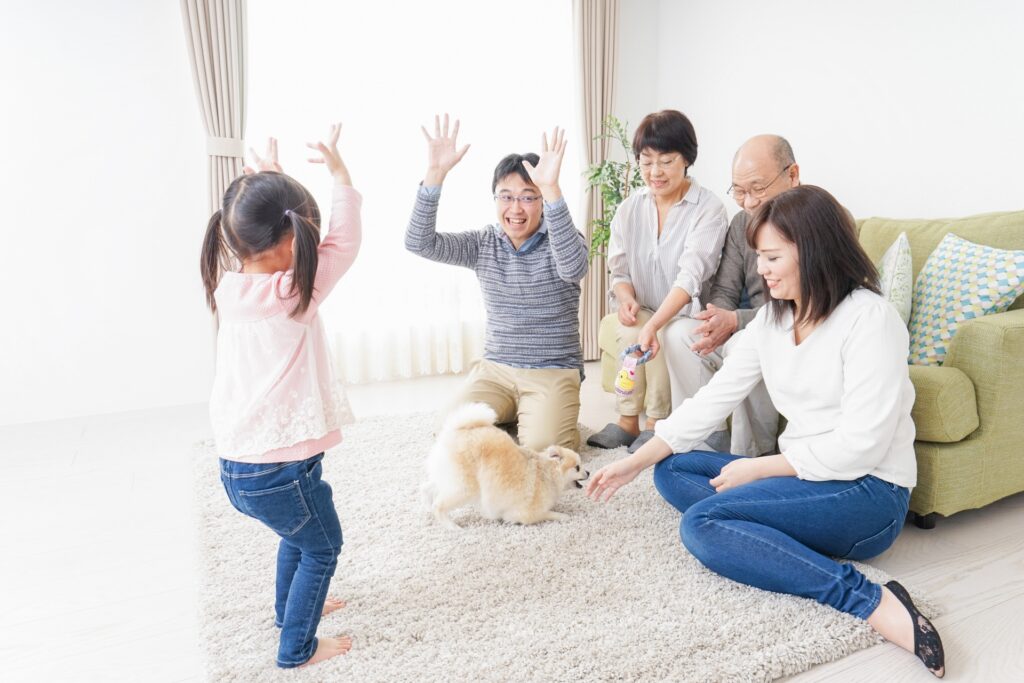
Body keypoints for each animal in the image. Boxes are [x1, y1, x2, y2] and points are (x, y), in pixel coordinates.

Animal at [419, 403, 589, 532]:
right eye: (577, 467)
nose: (588, 472)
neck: (548, 473)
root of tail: (456, 430)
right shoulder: (528, 514)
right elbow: (549, 513)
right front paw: (564, 516)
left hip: (450, 477)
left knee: (427, 487)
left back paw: (427, 506)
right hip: (466, 487)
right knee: (439, 505)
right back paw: (452, 526)